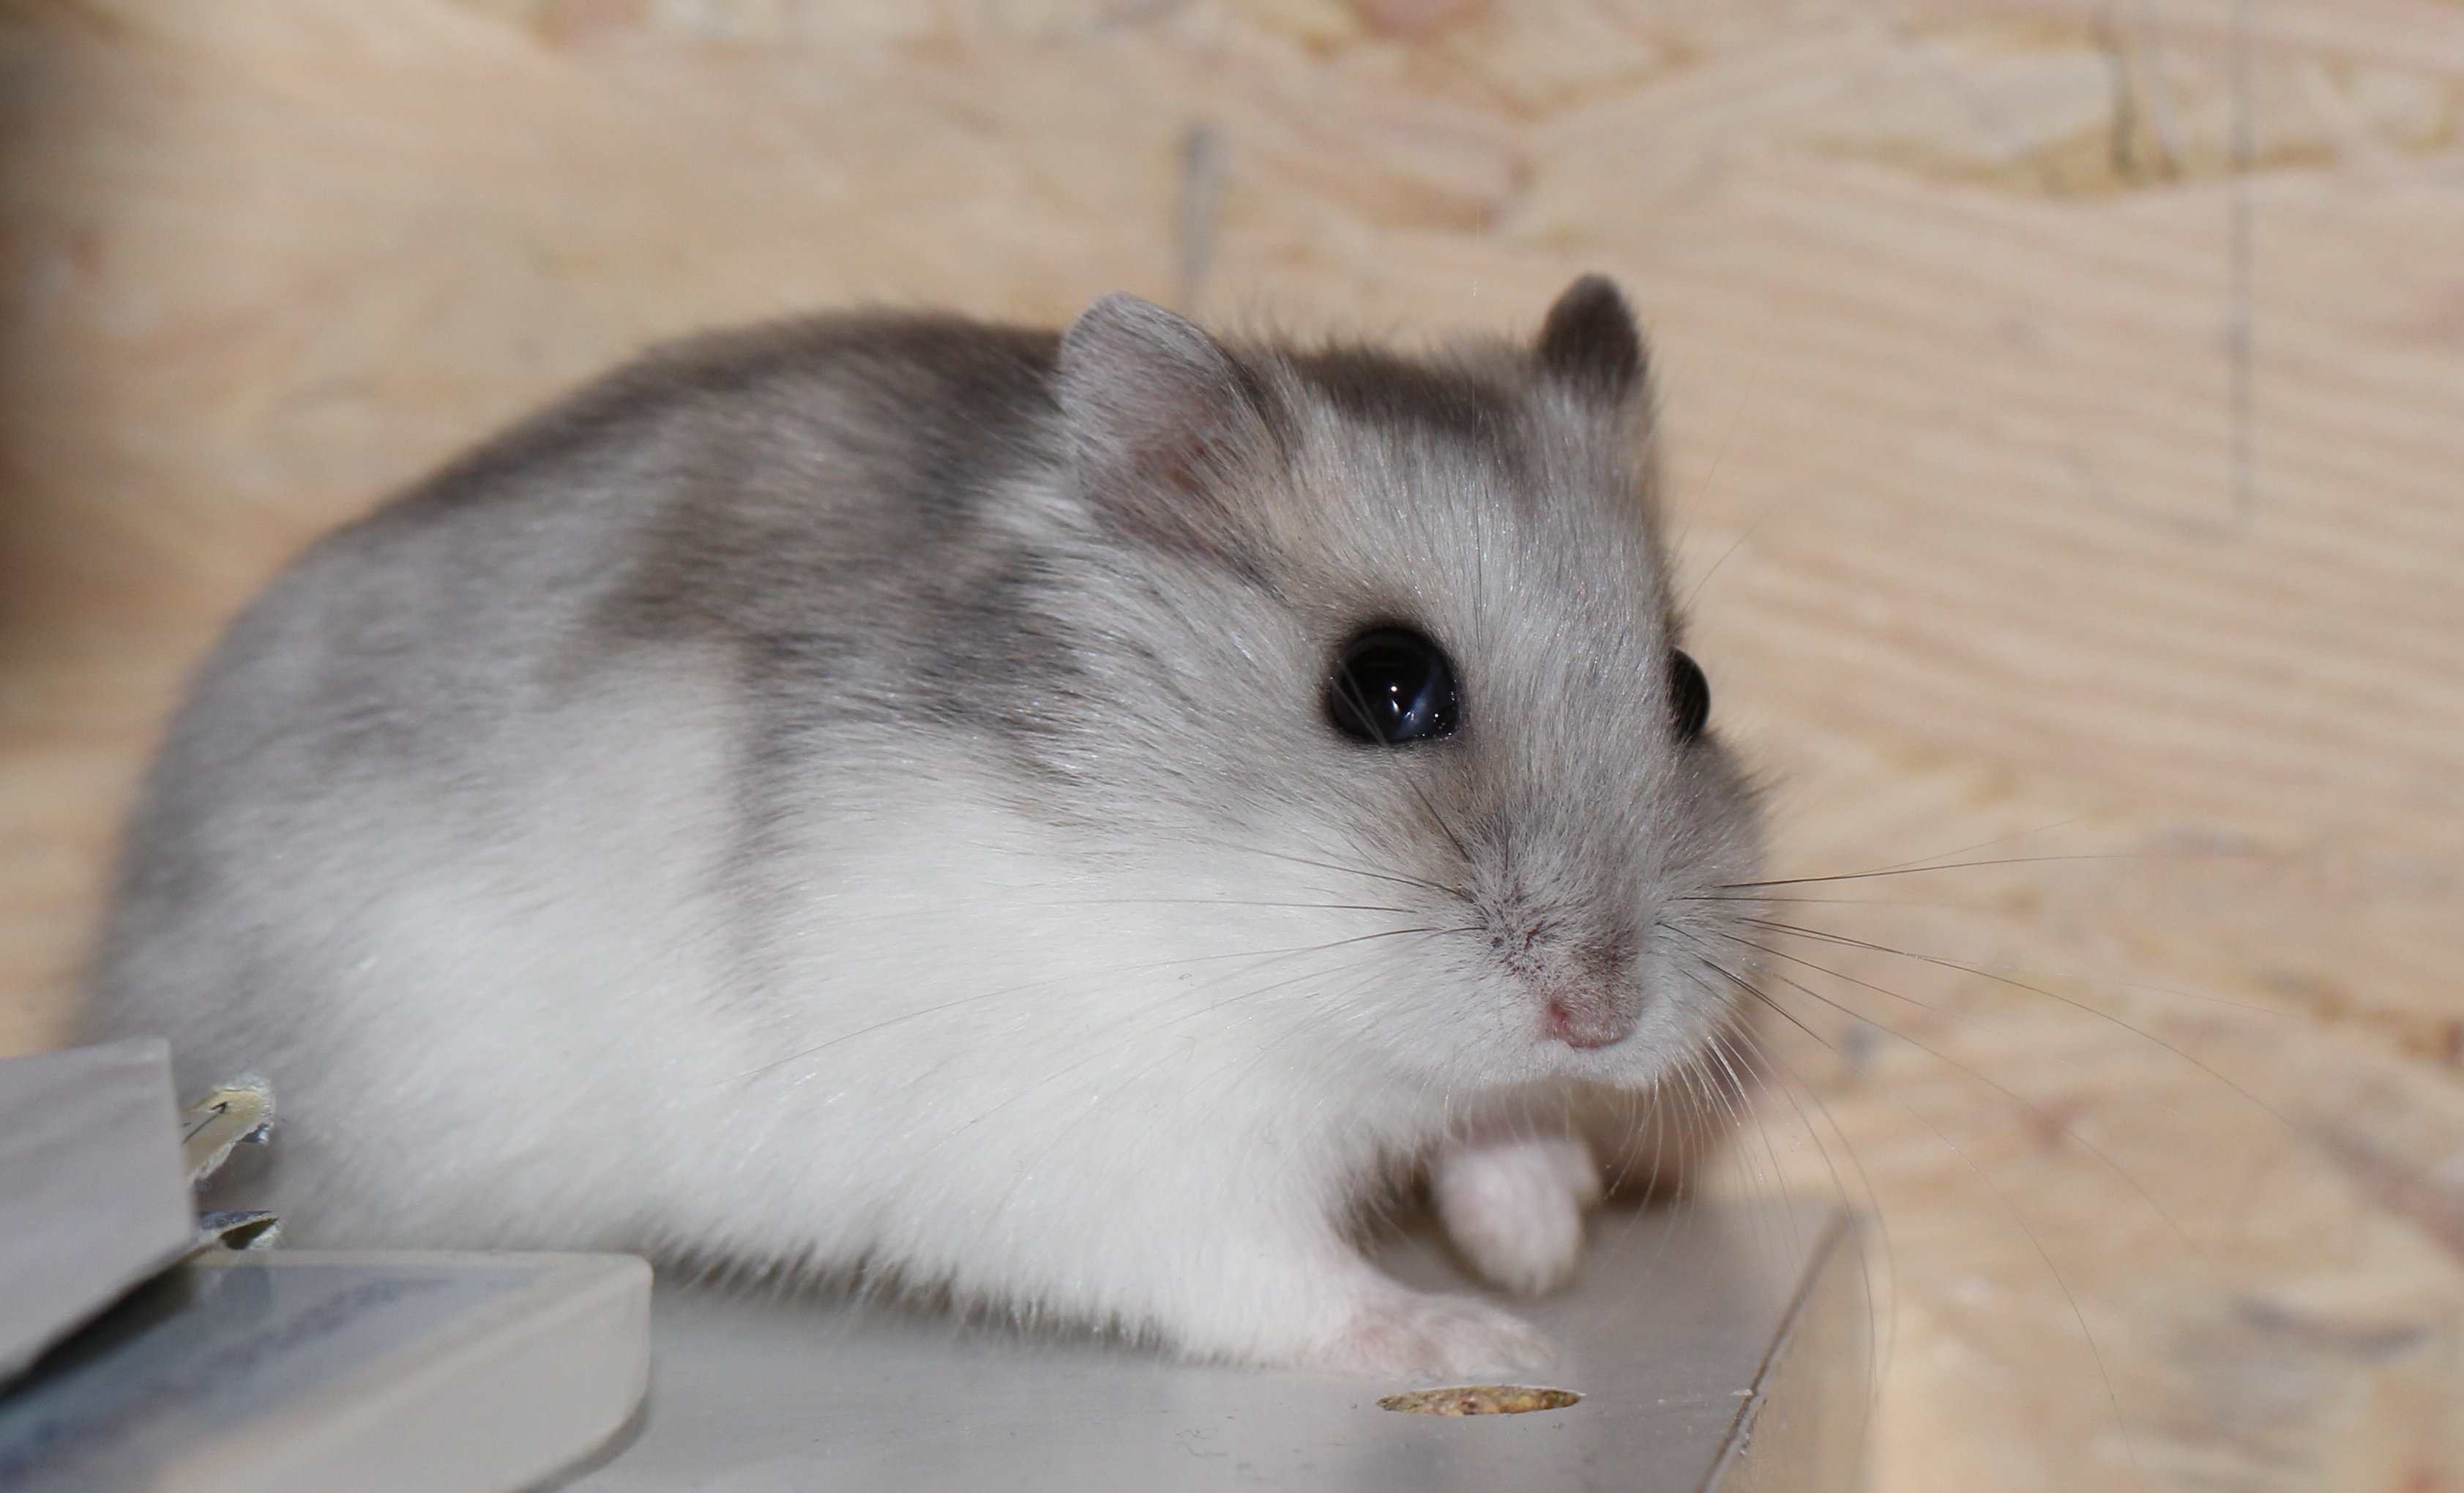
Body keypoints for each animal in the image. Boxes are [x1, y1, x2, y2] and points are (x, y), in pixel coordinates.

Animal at [85, 277, 1764, 1376]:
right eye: (1387, 687)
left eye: (1689, 690)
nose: (1605, 1014)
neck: (1224, 915)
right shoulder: (1116, 1159)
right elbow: (1280, 1277)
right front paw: (1479, 1334)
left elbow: (1495, 1121)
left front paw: (1540, 1236)